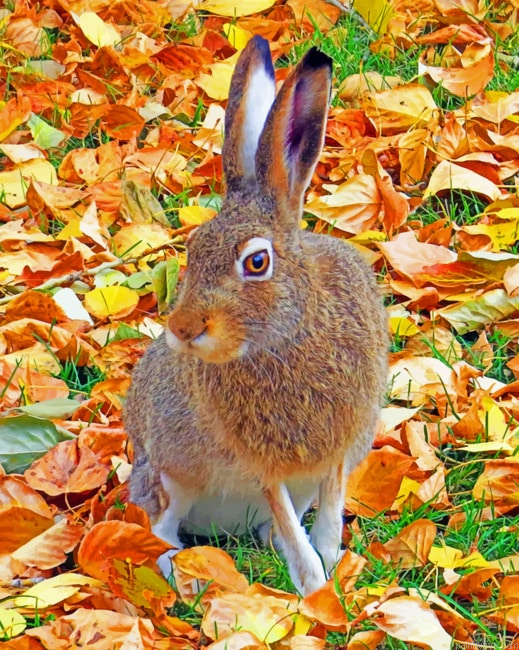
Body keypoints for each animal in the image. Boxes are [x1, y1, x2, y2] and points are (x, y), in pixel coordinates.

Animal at [124, 35, 388, 595]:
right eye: (193, 250)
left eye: (257, 262)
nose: (183, 330)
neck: (290, 336)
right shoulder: (260, 463)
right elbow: (286, 516)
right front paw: (315, 590)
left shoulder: (336, 451)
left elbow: (325, 512)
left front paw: (329, 566)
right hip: (171, 471)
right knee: (160, 529)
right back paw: (182, 571)